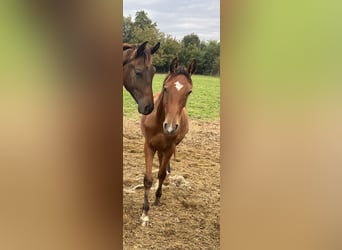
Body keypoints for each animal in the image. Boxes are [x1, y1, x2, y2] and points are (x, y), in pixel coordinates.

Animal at [140, 57, 198, 226]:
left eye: (189, 92)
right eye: (166, 89)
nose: (171, 127)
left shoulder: (170, 148)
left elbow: (161, 175)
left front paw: (157, 198)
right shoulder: (149, 146)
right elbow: (148, 179)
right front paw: (145, 213)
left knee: (163, 167)